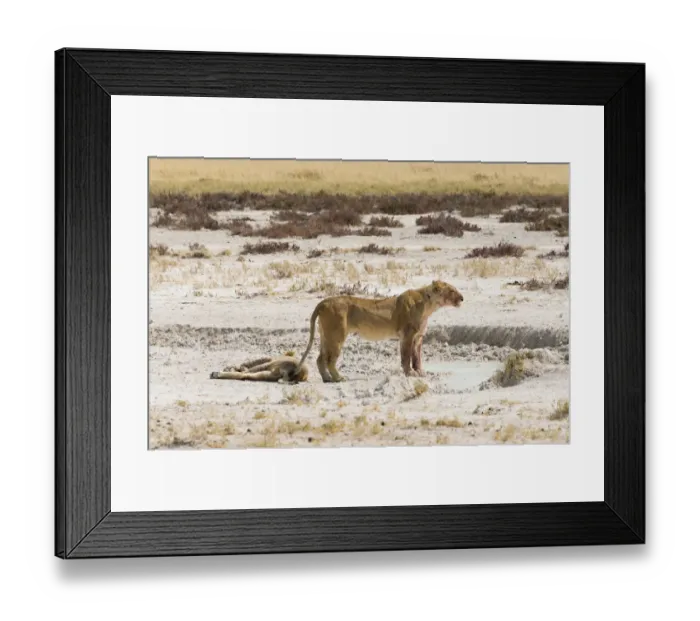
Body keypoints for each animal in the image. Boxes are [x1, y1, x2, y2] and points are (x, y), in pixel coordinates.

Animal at [297, 280, 463, 382]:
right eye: (451, 291)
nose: (462, 298)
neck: (429, 306)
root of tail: (323, 302)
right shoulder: (407, 335)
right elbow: (406, 357)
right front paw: (410, 373)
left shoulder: (418, 337)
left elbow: (417, 357)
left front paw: (420, 372)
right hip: (336, 336)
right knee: (330, 359)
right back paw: (338, 378)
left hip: (325, 335)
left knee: (320, 358)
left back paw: (326, 378)